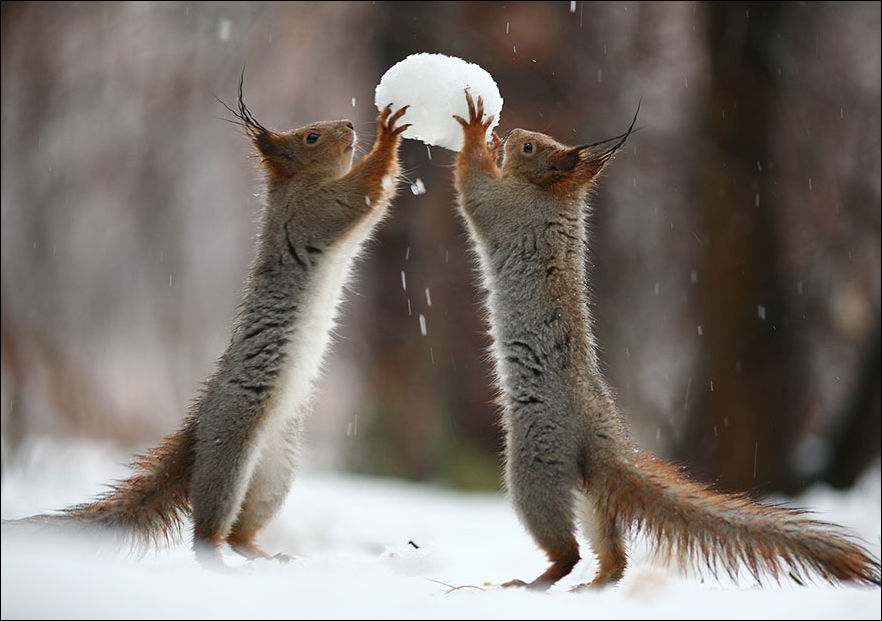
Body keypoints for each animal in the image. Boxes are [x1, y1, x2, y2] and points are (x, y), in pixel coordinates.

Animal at [7, 77, 410, 566]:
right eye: (311, 137)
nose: (350, 124)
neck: (298, 186)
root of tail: (196, 431)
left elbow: (378, 203)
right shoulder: (316, 212)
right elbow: (365, 194)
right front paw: (389, 134)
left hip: (275, 473)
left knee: (241, 531)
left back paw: (262, 555)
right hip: (229, 451)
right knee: (207, 531)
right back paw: (219, 562)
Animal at [452, 89, 880, 590]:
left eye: (529, 148)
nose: (513, 133)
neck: (553, 196)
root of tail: (601, 436)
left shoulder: (503, 208)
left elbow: (471, 186)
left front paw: (476, 130)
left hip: (535, 464)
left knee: (567, 547)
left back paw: (539, 580)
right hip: (587, 486)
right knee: (612, 550)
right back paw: (598, 582)